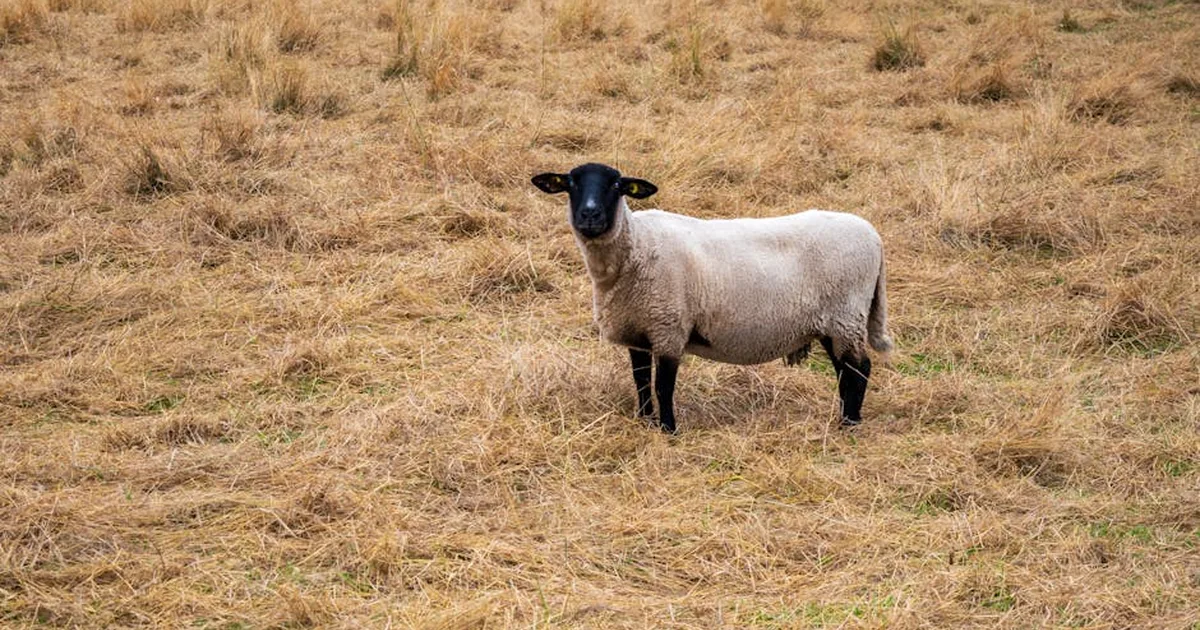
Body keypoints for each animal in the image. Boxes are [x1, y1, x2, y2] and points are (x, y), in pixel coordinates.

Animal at [531, 162, 893, 433]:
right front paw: (645, 420)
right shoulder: (638, 329)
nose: (590, 216)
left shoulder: (668, 327)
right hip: (834, 322)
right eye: (570, 183)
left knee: (859, 368)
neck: (637, 247)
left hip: (846, 315)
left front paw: (668, 430)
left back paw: (849, 424)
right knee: (846, 370)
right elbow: (641, 381)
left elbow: (663, 385)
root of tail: (874, 236)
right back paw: (844, 417)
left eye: (617, 184)